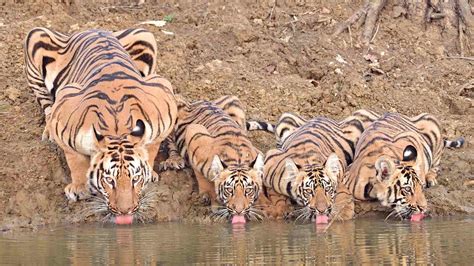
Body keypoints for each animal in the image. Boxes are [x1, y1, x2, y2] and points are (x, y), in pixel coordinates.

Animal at [24, 27, 177, 222]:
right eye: (109, 180)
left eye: (135, 179)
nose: (125, 211)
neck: (118, 128)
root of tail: (93, 29)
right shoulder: (65, 105)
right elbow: (75, 159)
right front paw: (79, 188)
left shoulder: (163, 98)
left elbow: (151, 149)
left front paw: (150, 173)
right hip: (35, 36)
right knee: (46, 104)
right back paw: (48, 132)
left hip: (145, 35)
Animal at [160, 94, 264, 223]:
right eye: (229, 190)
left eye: (248, 190)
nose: (239, 211)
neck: (238, 159)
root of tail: (195, 100)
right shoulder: (194, 134)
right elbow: (202, 176)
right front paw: (208, 197)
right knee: (171, 143)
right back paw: (174, 160)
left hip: (235, 102)